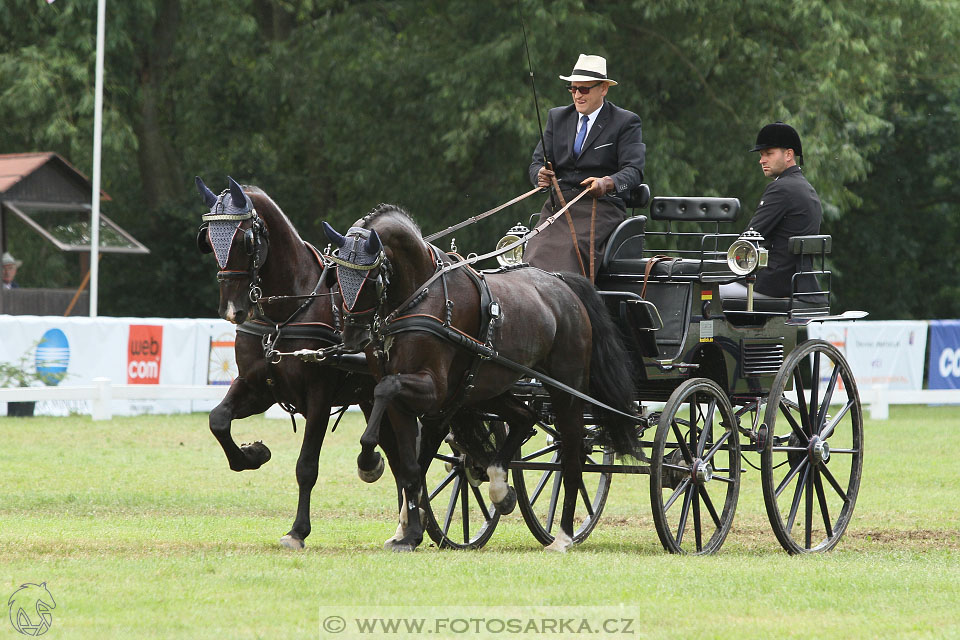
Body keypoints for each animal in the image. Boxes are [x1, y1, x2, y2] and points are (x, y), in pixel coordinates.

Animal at [195, 179, 408, 552]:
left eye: (245, 240)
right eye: (207, 238)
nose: (232, 310)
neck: (286, 312)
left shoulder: (318, 397)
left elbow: (306, 466)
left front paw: (297, 531)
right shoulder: (256, 386)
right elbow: (218, 420)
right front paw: (253, 454)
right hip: (371, 399)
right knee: (395, 455)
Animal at [320, 204, 636, 552]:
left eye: (371, 277)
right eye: (336, 275)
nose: (353, 336)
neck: (418, 296)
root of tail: (562, 284)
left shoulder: (432, 389)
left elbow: (387, 396)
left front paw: (369, 463)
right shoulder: (409, 401)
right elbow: (409, 465)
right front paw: (408, 532)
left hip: (567, 390)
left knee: (572, 454)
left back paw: (563, 535)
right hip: (489, 387)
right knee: (525, 417)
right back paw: (499, 486)